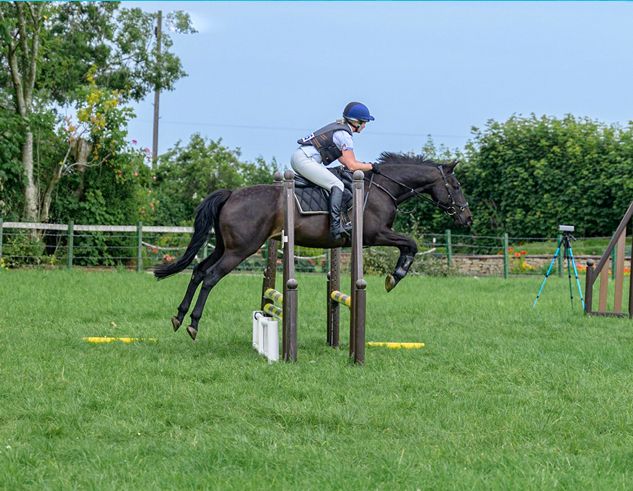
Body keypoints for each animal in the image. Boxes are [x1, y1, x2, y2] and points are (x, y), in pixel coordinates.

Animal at [154, 151, 473, 340]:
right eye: (456, 187)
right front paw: (395, 276)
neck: (384, 188)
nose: (467, 218)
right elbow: (411, 244)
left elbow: (409, 244)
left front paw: (394, 276)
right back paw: (193, 323)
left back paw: (178, 316)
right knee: (210, 276)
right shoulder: (376, 234)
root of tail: (231, 193)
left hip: (225, 246)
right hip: (240, 250)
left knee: (198, 271)